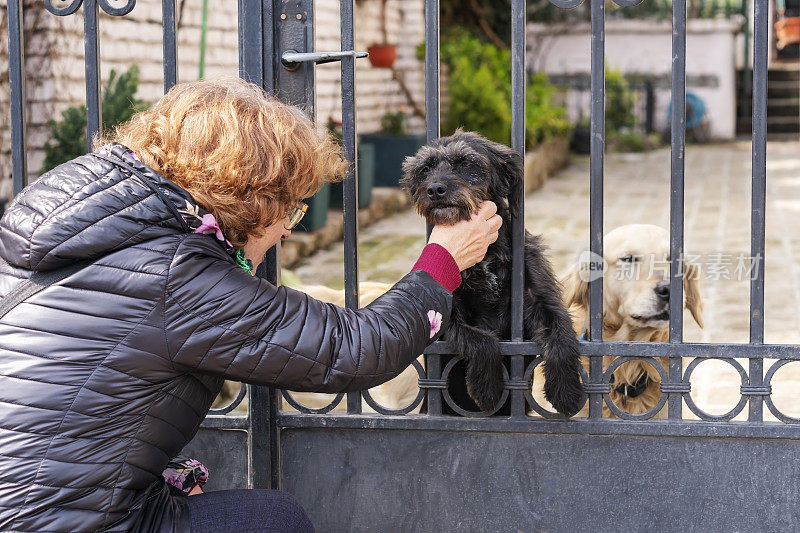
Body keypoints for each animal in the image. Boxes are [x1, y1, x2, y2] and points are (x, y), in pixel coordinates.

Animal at [400, 130, 580, 416]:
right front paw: (488, 389)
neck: (486, 255)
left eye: (466, 163)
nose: (435, 189)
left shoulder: (539, 299)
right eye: (425, 169)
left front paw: (567, 392)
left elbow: (560, 334)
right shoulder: (443, 319)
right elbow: (480, 340)